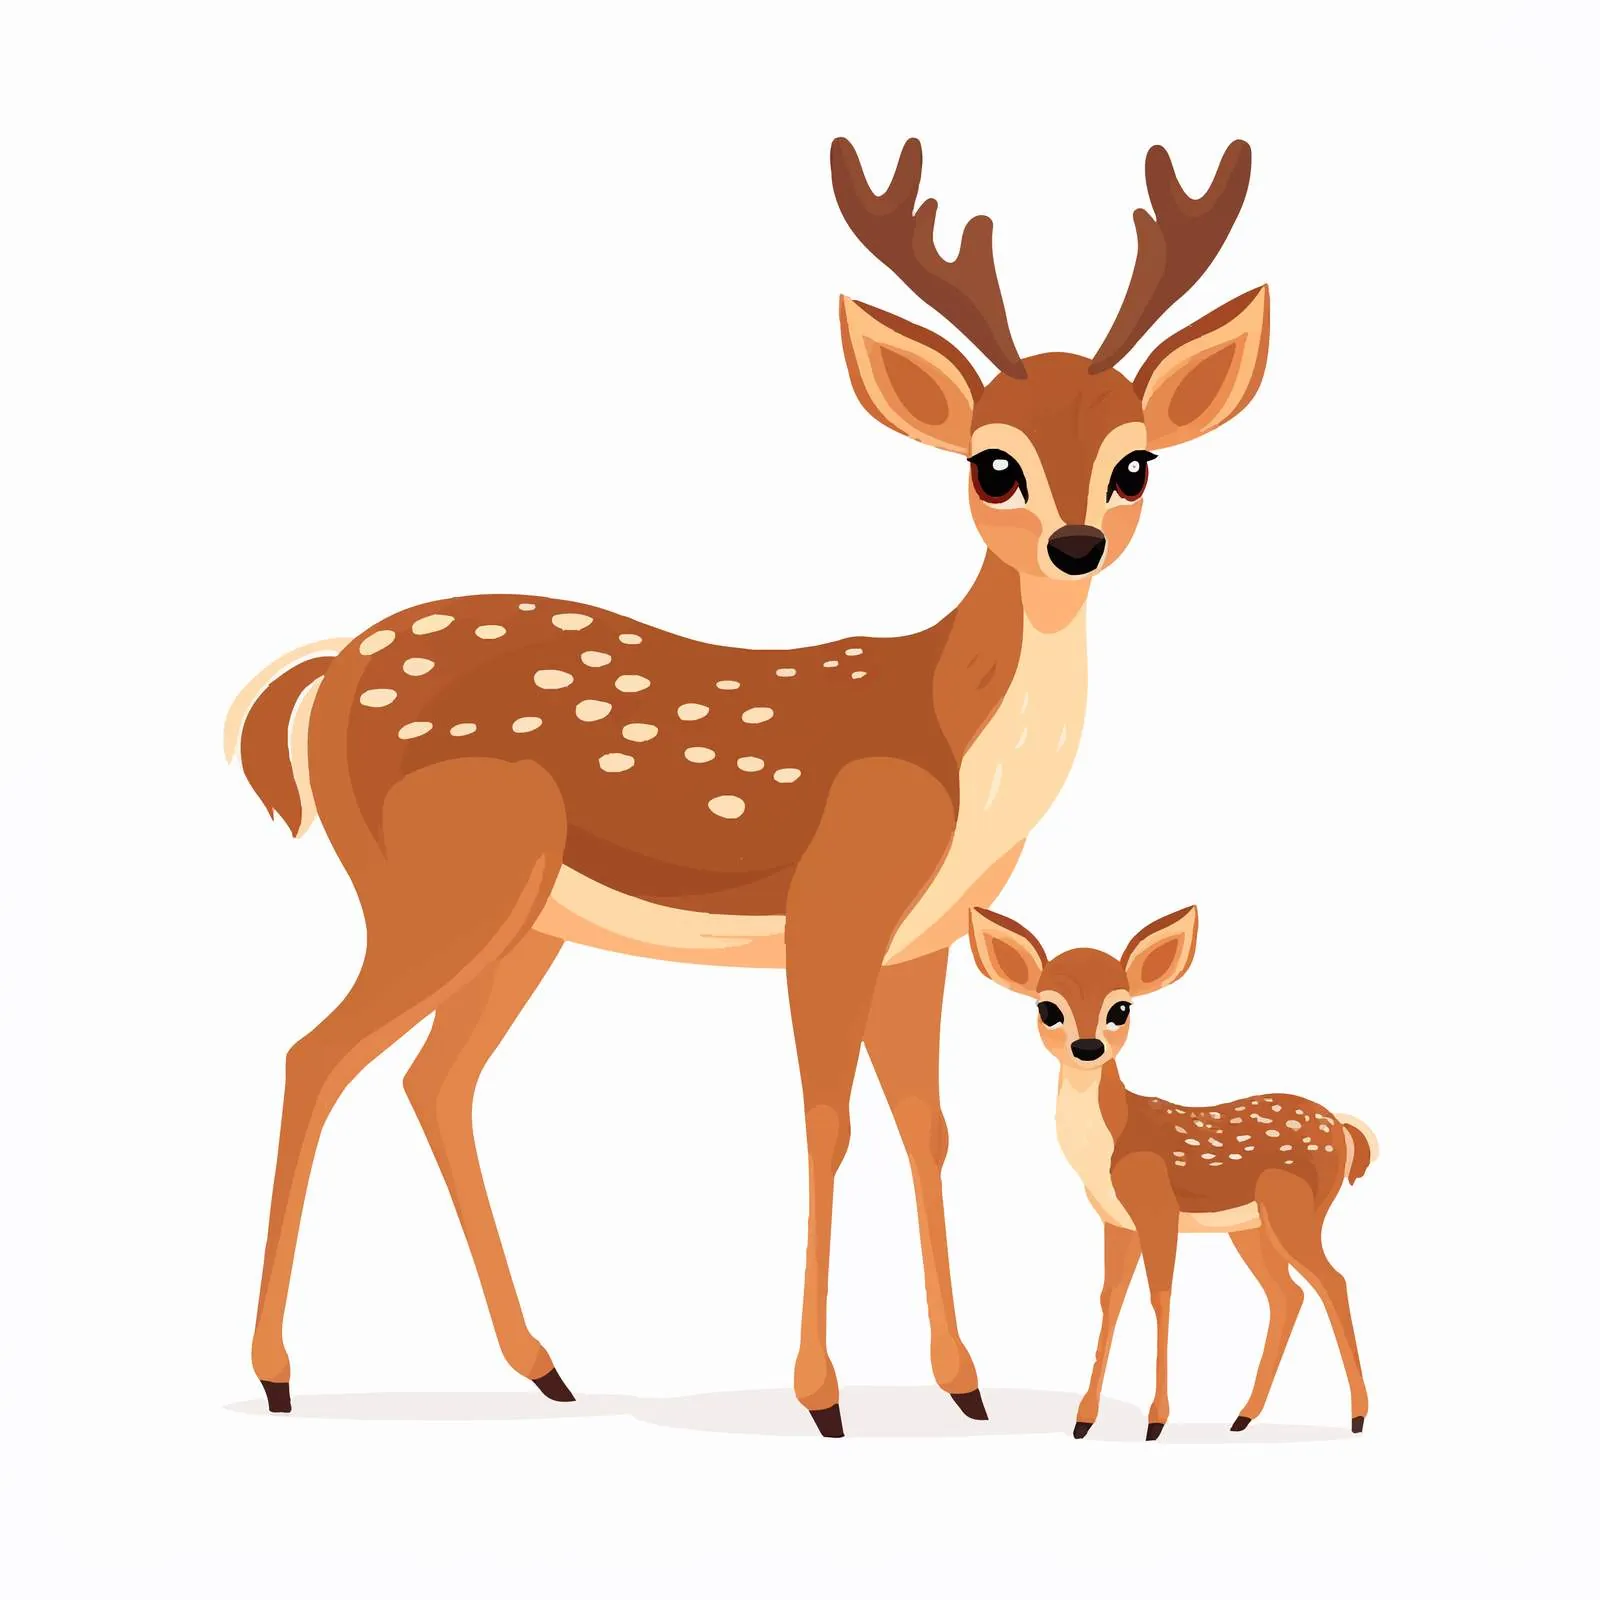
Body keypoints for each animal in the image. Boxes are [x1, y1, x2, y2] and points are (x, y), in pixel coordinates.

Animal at [224, 135, 1270, 1437]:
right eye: (993, 463)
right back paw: (277, 1372)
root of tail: (325, 671)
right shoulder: (833, 906)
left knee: (434, 1079)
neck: (952, 750)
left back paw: (544, 1363)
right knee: (313, 1056)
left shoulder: (925, 939)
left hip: (524, 924)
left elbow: (926, 1126)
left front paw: (964, 1383)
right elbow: (827, 1123)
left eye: (1136, 463)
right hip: (438, 888)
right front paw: (821, 1397)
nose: (1073, 547)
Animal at [968, 904, 1377, 1438]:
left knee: (1334, 1282)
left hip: (1296, 1209)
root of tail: (1342, 1128)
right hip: (1251, 1228)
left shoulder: (1157, 1207)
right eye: (1048, 1009)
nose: (1087, 1047)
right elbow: (1110, 1298)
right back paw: (1243, 1415)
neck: (1110, 1147)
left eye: (1121, 1008)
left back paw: (1357, 1415)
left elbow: (1160, 1295)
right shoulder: (1117, 1222)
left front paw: (1156, 1420)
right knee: (1287, 1294)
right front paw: (1083, 1420)